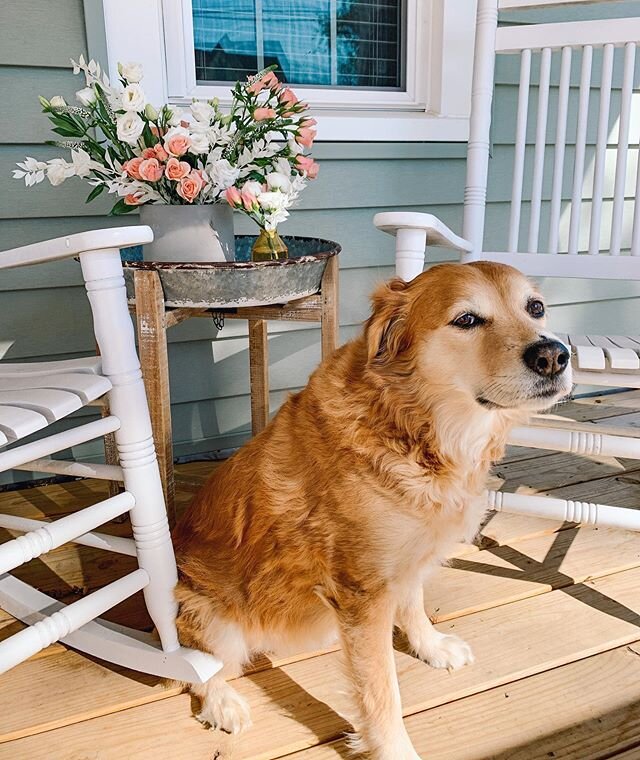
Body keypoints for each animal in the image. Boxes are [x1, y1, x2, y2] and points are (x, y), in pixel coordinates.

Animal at [172, 262, 572, 760]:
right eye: (466, 320)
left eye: (535, 308)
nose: (554, 355)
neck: (417, 429)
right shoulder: (363, 592)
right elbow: (381, 693)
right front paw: (394, 748)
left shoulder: (405, 562)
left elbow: (414, 605)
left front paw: (430, 646)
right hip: (213, 619)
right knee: (199, 670)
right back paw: (223, 702)